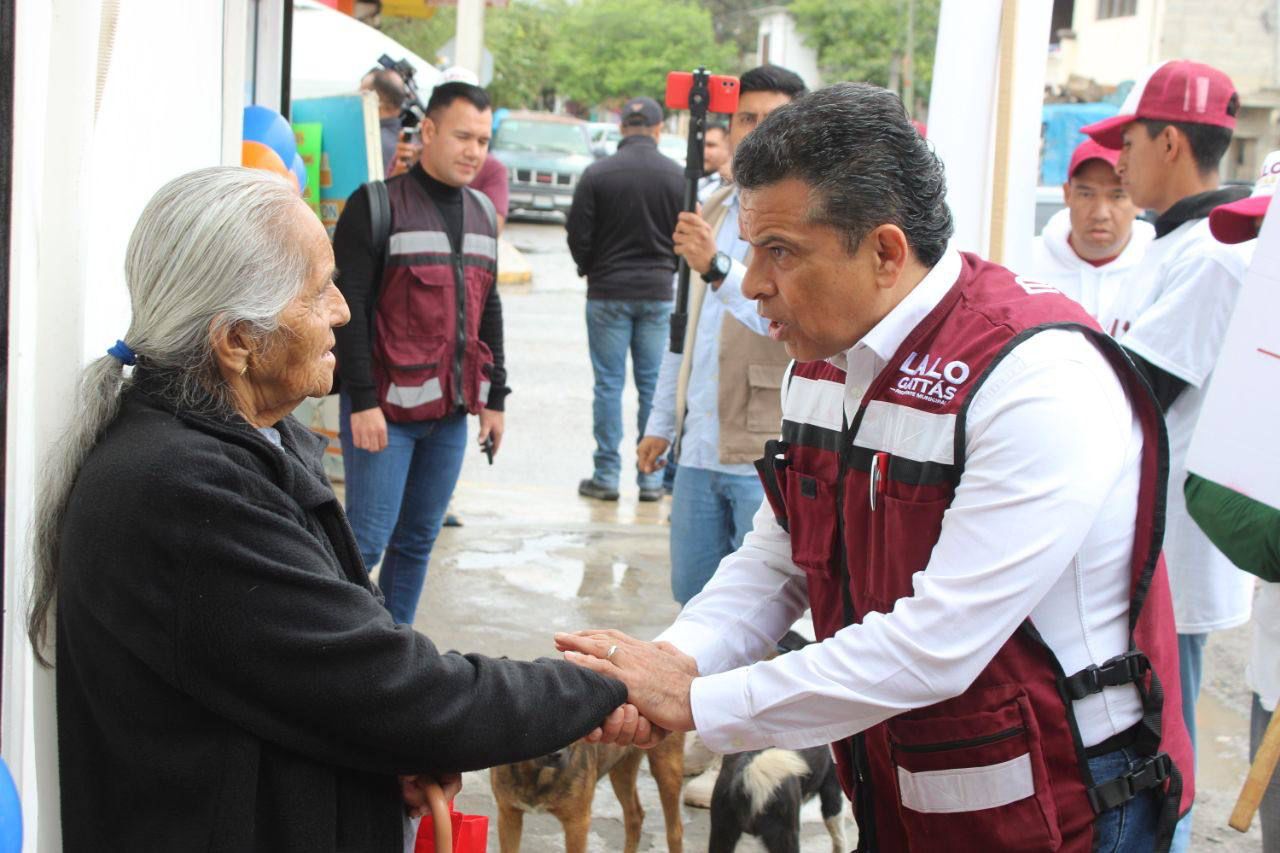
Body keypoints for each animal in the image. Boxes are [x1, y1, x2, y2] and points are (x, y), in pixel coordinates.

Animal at [488, 722, 686, 850]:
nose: (555, 754)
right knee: (635, 816)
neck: (537, 775)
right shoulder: (508, 817)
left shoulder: (577, 824)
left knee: (674, 831)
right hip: (621, 769)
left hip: (666, 769)